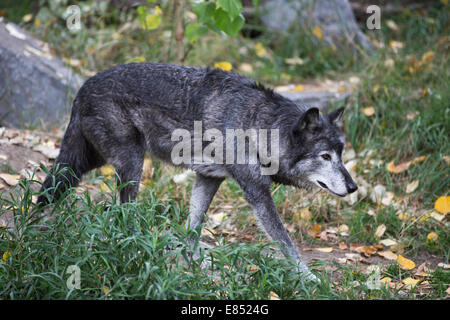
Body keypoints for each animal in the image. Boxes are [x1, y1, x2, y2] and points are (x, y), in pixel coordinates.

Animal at [37, 63, 356, 282]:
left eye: (340, 154)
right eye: (325, 157)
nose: (353, 187)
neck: (257, 125)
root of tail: (82, 88)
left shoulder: (209, 178)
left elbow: (192, 228)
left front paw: (193, 265)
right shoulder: (257, 193)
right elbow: (287, 244)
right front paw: (309, 279)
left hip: (82, 164)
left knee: (47, 190)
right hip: (131, 163)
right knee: (121, 214)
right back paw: (133, 249)